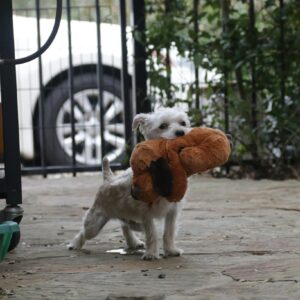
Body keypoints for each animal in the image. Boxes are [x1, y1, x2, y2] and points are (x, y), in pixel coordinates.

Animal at [67, 108, 190, 260]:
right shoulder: (146, 213)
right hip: (95, 222)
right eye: (163, 126)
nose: (180, 132)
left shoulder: (172, 211)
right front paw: (151, 254)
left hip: (127, 216)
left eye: (183, 123)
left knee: (125, 225)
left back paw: (133, 241)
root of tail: (108, 178)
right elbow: (152, 233)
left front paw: (171, 250)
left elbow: (169, 232)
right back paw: (75, 244)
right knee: (84, 232)